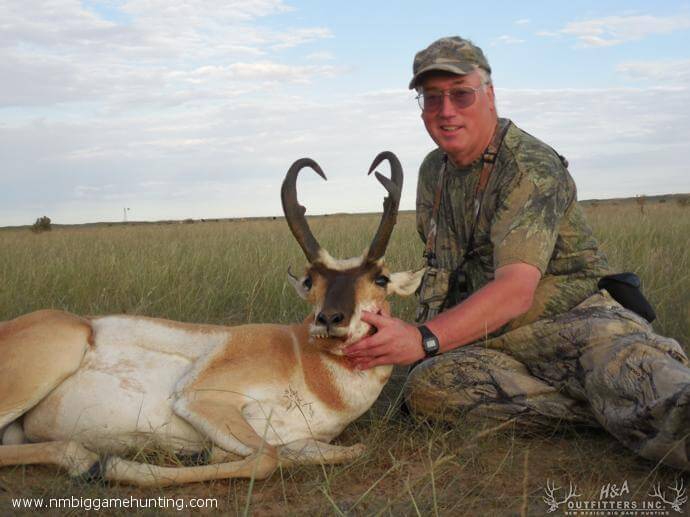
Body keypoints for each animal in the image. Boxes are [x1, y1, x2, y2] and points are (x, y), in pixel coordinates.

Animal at [0, 152, 424, 487]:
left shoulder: (304, 440)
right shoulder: (199, 398)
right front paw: (120, 466)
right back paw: (90, 461)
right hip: (57, 354)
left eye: (380, 279)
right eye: (310, 279)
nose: (329, 319)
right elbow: (267, 457)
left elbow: (351, 449)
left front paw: (201, 453)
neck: (303, 359)